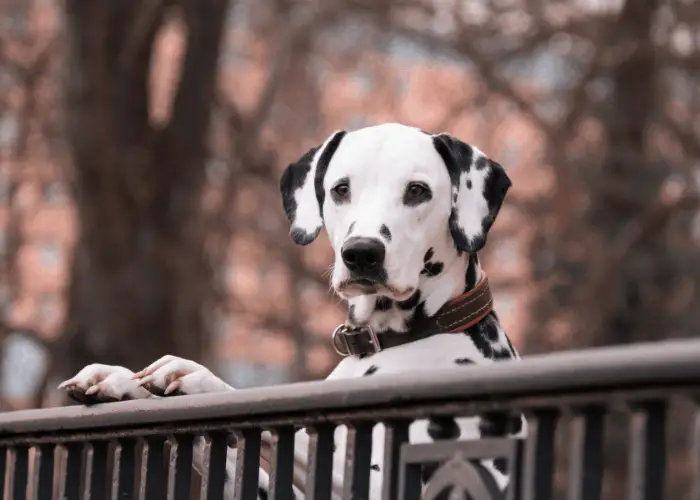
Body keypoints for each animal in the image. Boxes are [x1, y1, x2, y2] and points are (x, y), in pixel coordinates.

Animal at [58, 123, 524, 498]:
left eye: (417, 191)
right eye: (341, 189)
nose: (362, 253)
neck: (388, 342)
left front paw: (198, 378)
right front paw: (122, 381)